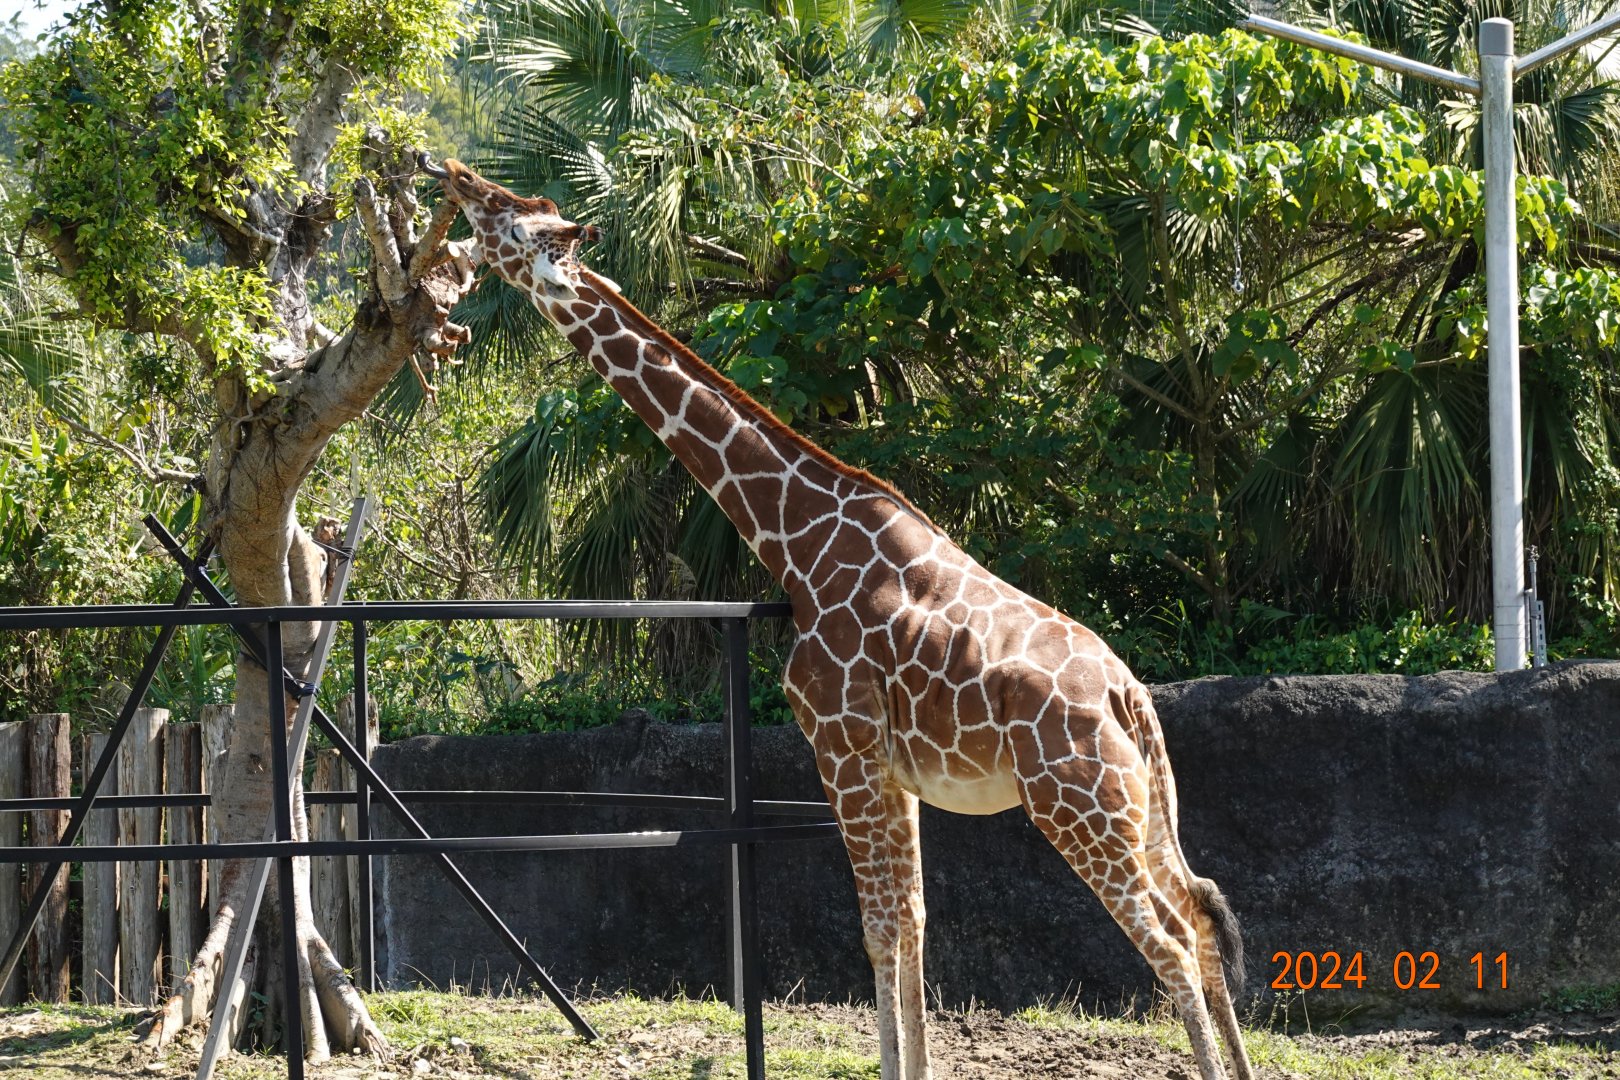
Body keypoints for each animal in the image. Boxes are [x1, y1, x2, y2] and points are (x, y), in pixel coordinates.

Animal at [419, 155, 1255, 1080]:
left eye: (505, 217)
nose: (444, 168)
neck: (800, 542)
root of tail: (1126, 693)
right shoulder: (893, 769)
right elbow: (912, 924)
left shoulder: (841, 746)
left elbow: (879, 929)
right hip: (1140, 804)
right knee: (1203, 917)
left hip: (1076, 804)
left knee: (1168, 943)